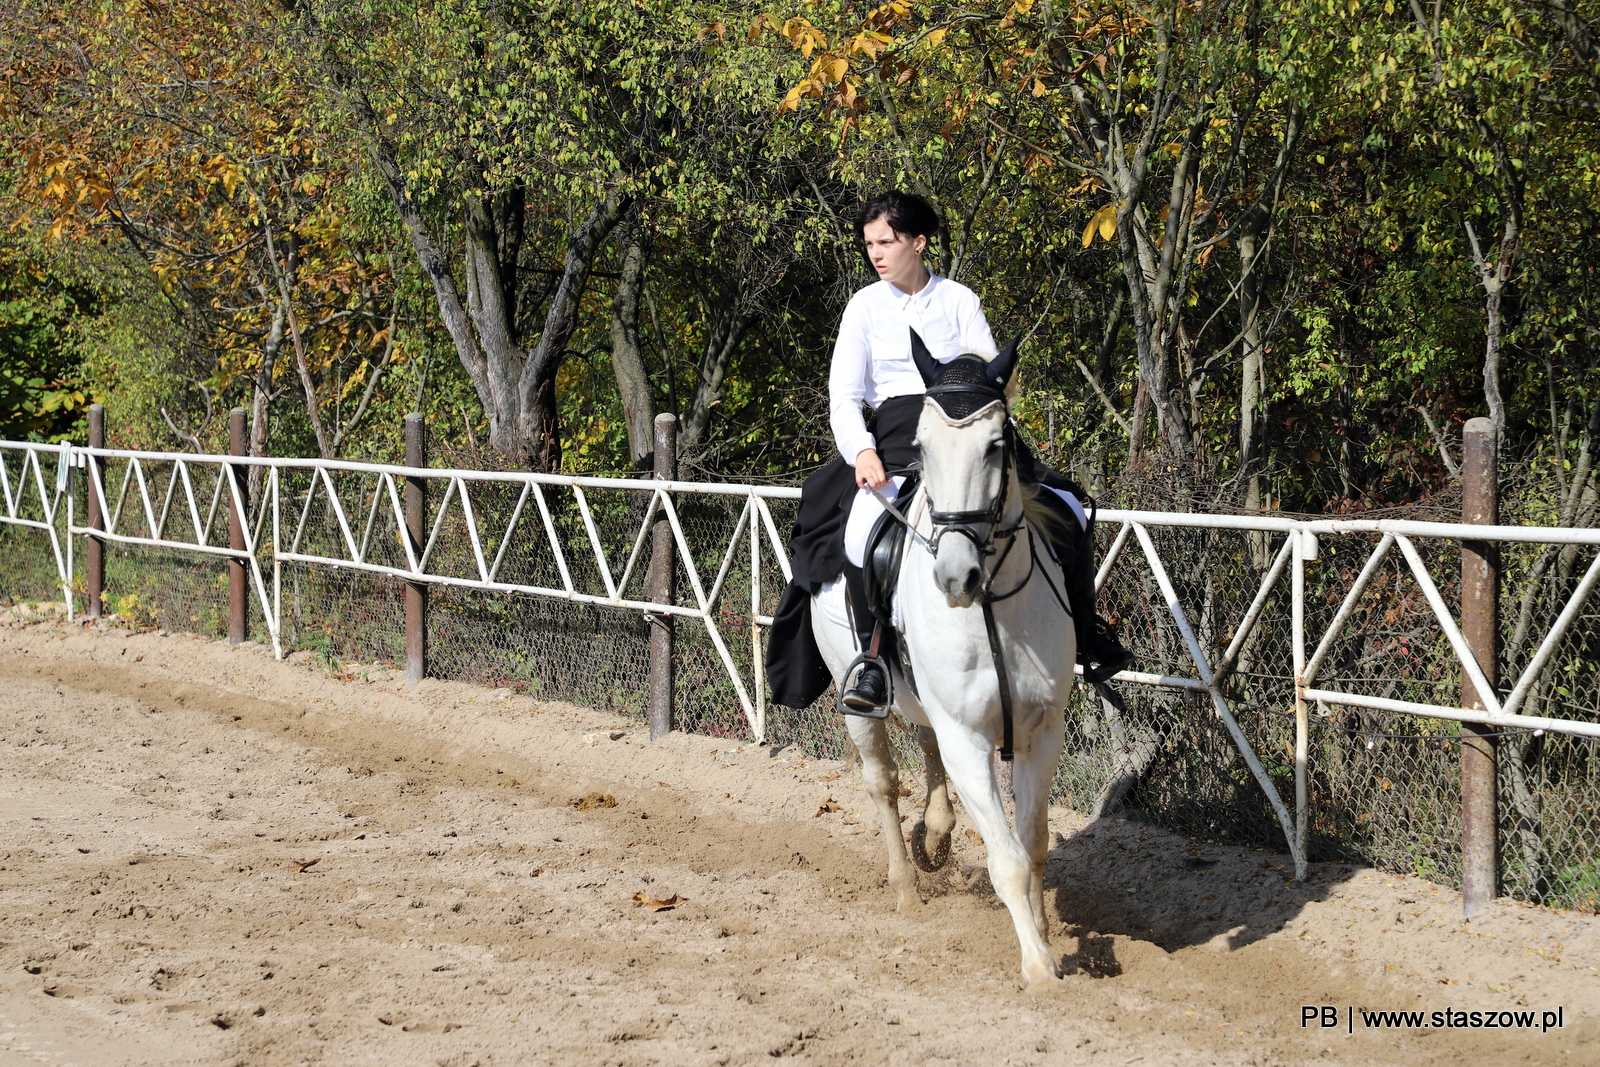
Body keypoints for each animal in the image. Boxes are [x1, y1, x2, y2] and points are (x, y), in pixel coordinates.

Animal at [812, 337, 1075, 991]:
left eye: (997, 445)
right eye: (923, 448)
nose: (957, 578)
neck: (993, 606)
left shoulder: (1041, 731)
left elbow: (1033, 842)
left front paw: (1045, 933)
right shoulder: (968, 739)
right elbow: (1007, 858)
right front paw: (1038, 967)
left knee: (925, 747)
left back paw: (934, 833)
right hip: (857, 704)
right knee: (883, 782)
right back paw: (907, 888)